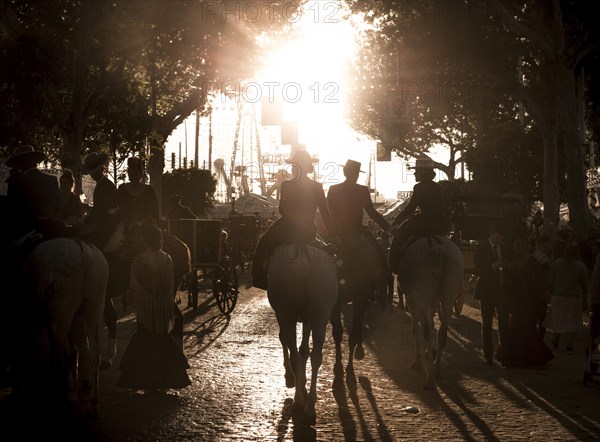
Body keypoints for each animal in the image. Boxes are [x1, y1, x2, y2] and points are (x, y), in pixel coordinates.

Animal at [19, 238, 109, 414]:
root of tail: (85, 257)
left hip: (62, 310)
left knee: (70, 349)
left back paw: (72, 395)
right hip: (95, 303)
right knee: (94, 350)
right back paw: (94, 401)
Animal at [268, 243, 338, 426]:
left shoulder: (282, 315)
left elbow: (285, 341)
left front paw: (292, 378)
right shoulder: (307, 319)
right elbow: (304, 349)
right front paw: (303, 382)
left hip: (287, 312)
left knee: (294, 353)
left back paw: (299, 401)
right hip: (320, 312)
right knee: (316, 356)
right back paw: (310, 408)